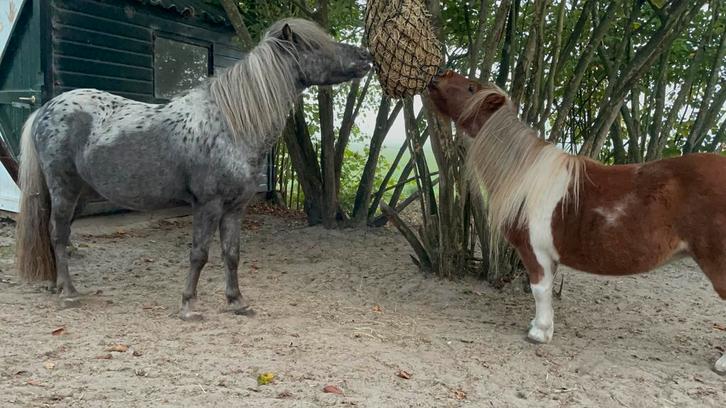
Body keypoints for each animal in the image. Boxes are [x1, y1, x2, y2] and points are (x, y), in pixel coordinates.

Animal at [15, 18, 371, 320]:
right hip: (64, 189)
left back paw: (55, 284)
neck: (231, 125)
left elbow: (231, 253)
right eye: (316, 45)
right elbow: (199, 254)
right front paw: (188, 305)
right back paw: (69, 292)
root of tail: (45, 109)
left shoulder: (236, 208)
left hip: (81, 195)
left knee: (54, 233)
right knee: (58, 233)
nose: (365, 55)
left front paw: (237, 302)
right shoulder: (208, 205)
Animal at [427, 69, 726, 374]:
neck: (526, 176)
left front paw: (539, 333)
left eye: (470, 88)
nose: (438, 75)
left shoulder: (535, 252)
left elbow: (539, 290)